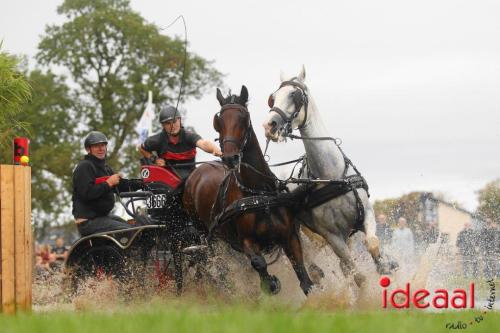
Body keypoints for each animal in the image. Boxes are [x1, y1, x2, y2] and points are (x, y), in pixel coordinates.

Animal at [182, 85, 314, 294]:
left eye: (244, 117)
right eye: (219, 121)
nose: (230, 158)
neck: (259, 195)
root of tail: (198, 172)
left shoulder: (290, 237)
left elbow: (303, 276)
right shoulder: (246, 242)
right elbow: (259, 264)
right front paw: (271, 283)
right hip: (205, 235)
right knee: (210, 263)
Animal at [264, 65, 396, 286]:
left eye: (295, 95)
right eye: (273, 98)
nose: (269, 126)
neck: (332, 176)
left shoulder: (366, 216)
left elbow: (372, 243)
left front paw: (385, 266)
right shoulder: (332, 236)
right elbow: (357, 275)